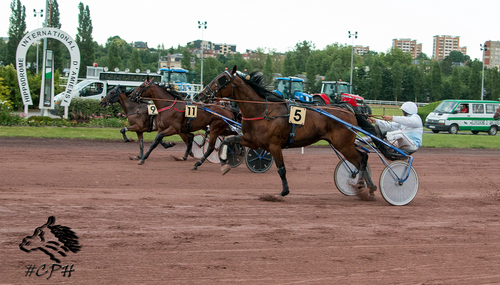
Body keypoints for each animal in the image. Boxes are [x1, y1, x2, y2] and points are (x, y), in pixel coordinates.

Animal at [196, 67, 376, 197]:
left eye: (220, 80)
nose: (199, 95)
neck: (262, 111)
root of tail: (348, 109)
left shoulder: (274, 145)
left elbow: (281, 168)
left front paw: (284, 191)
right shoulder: (252, 140)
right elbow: (227, 141)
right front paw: (224, 164)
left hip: (343, 144)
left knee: (362, 159)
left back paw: (362, 184)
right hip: (342, 144)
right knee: (360, 160)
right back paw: (370, 187)